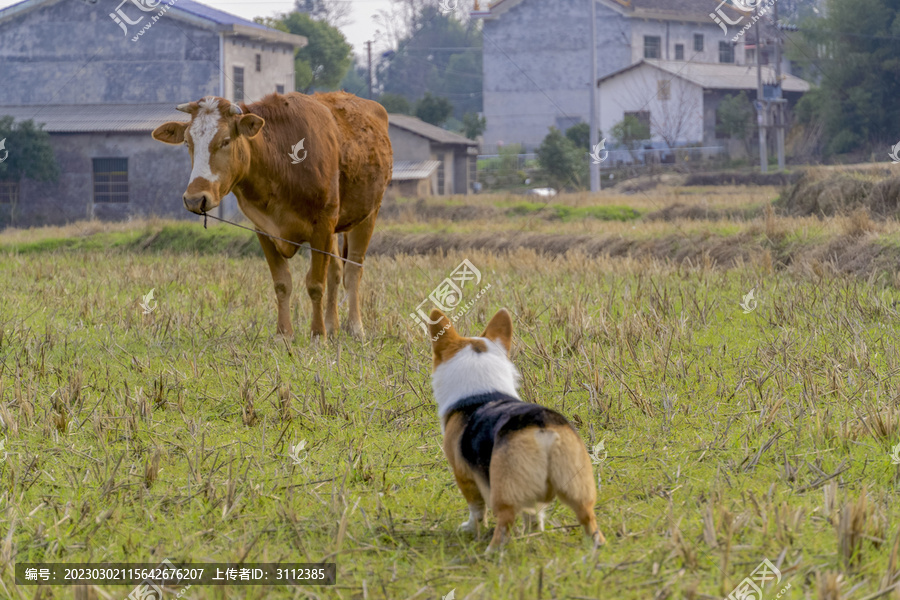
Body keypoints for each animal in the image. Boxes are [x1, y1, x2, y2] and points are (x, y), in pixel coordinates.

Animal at [150, 92, 390, 340]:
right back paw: (333, 327)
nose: (195, 199)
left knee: (352, 271)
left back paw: (355, 328)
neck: (279, 163)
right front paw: (284, 334)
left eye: (225, 141)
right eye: (188, 142)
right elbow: (282, 283)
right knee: (335, 271)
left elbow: (315, 284)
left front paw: (317, 335)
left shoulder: (322, 226)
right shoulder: (263, 228)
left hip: (368, 215)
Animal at [428, 310, 604, 552]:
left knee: (504, 520)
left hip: (504, 491)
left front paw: (470, 528)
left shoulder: (464, 476)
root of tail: (542, 429)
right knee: (589, 518)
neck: (483, 393)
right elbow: (534, 514)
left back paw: (492, 551)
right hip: (578, 486)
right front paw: (532, 534)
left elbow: (476, 509)